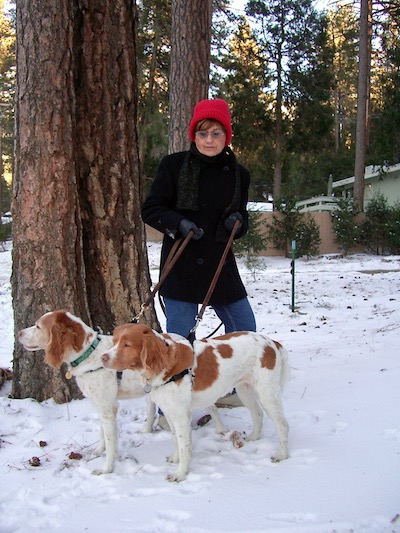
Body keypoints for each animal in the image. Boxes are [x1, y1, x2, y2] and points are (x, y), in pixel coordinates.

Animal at [101, 322, 290, 480]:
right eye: (114, 341)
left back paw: (282, 454)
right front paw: (175, 459)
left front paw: (180, 474)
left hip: (267, 393)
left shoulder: (181, 415)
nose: (102, 357)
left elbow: (184, 445)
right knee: (257, 414)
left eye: (127, 345)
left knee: (283, 425)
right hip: (245, 390)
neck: (166, 366)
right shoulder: (170, 411)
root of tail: (272, 342)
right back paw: (254, 437)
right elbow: (175, 440)